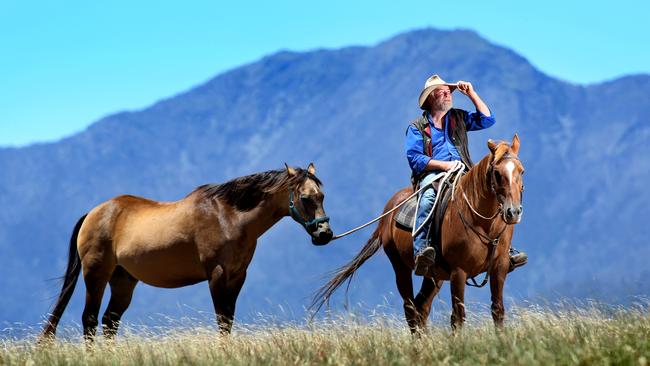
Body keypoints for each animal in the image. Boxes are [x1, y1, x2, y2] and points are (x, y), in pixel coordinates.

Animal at [40, 163, 332, 340]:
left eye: (322, 196)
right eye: (305, 198)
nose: (325, 234)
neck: (229, 217)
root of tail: (93, 213)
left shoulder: (238, 276)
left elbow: (229, 320)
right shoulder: (217, 276)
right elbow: (222, 321)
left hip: (123, 280)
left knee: (109, 322)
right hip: (96, 275)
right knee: (89, 319)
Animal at [312, 136, 520, 334]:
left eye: (521, 171)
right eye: (497, 173)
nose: (513, 212)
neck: (482, 223)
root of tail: (387, 214)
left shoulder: (499, 266)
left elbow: (497, 310)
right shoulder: (458, 272)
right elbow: (458, 316)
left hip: (434, 274)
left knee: (422, 307)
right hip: (400, 267)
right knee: (411, 309)